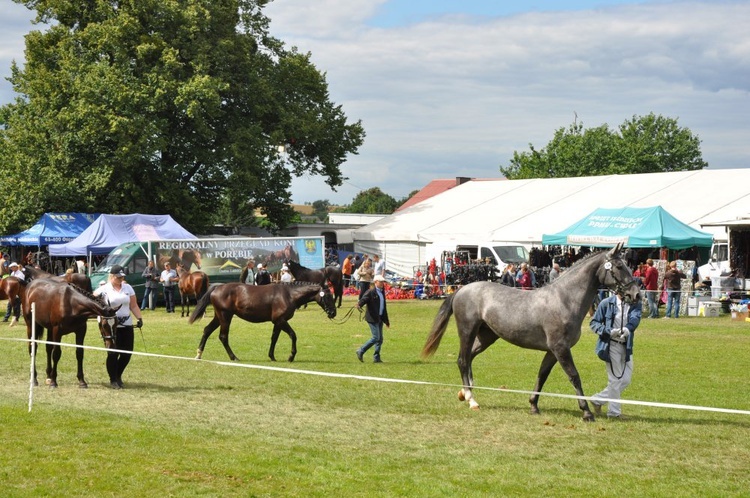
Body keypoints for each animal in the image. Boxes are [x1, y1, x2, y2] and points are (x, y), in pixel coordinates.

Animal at [189, 284, 340, 362]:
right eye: (327, 296)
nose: (333, 313)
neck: (289, 295)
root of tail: (216, 287)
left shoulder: (277, 323)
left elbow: (274, 338)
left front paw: (272, 356)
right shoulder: (281, 320)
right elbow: (293, 335)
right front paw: (291, 356)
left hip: (219, 316)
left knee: (207, 330)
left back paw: (199, 354)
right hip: (225, 317)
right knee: (223, 337)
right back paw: (234, 357)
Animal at [424, 243, 640, 422]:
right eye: (619, 267)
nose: (636, 294)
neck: (564, 299)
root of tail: (461, 290)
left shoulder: (552, 351)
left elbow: (542, 375)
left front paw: (533, 406)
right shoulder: (560, 348)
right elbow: (574, 376)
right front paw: (586, 412)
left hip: (486, 337)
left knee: (468, 359)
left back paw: (465, 393)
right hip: (467, 331)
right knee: (462, 360)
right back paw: (471, 400)